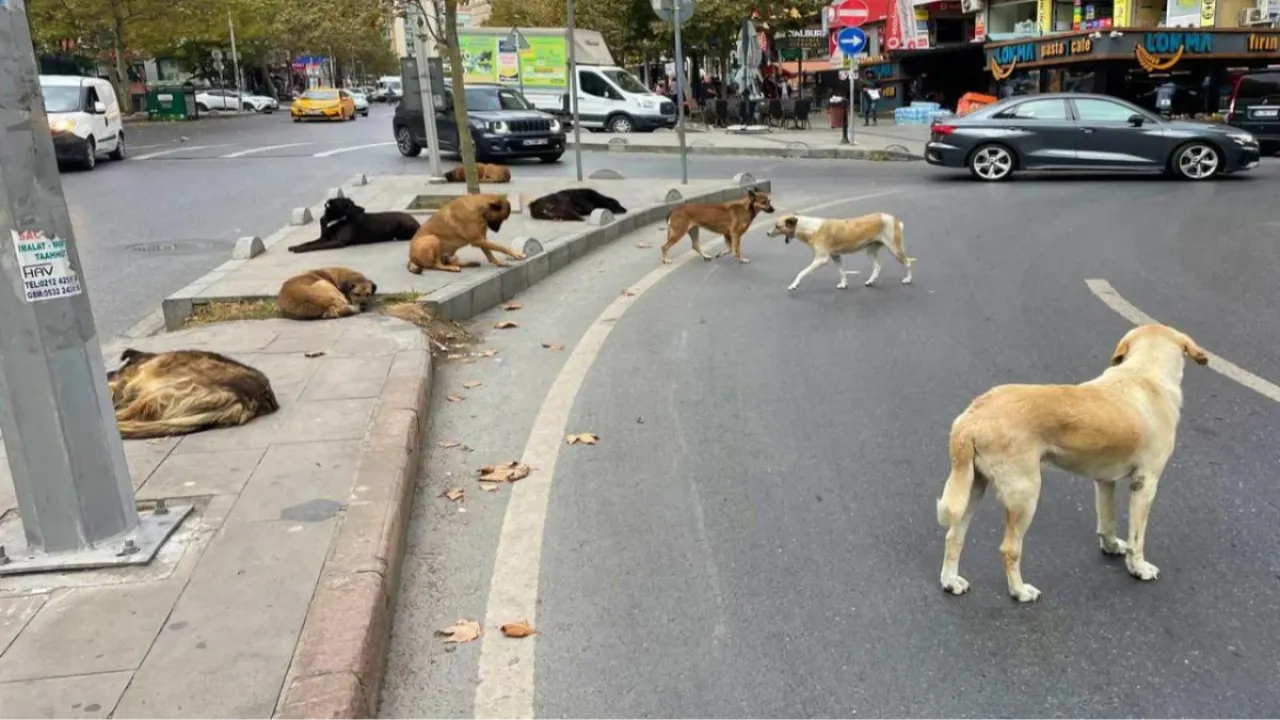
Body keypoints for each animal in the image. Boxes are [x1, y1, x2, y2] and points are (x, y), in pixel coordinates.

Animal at [289, 194, 419, 253]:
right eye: (349, 204)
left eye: (352, 203)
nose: (363, 209)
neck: (334, 220)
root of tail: (416, 222)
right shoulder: (324, 238)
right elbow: (308, 242)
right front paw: (295, 246)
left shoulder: (337, 242)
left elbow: (315, 246)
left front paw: (300, 249)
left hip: (403, 225)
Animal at [762, 211, 916, 289]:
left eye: (777, 226)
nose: (767, 234)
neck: (809, 228)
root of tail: (894, 219)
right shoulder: (836, 256)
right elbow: (842, 271)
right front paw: (844, 284)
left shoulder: (821, 259)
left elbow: (801, 272)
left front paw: (794, 285)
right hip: (871, 251)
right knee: (877, 267)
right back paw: (870, 281)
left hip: (895, 249)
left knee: (908, 262)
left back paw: (908, 279)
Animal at [936, 324, 1203, 599]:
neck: (1145, 372)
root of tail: (972, 417)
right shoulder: (1145, 482)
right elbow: (1137, 538)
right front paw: (1138, 568)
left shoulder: (1104, 481)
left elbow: (1107, 520)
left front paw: (1111, 546)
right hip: (1024, 495)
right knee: (1009, 549)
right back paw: (1020, 591)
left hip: (972, 488)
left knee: (953, 536)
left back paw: (951, 581)